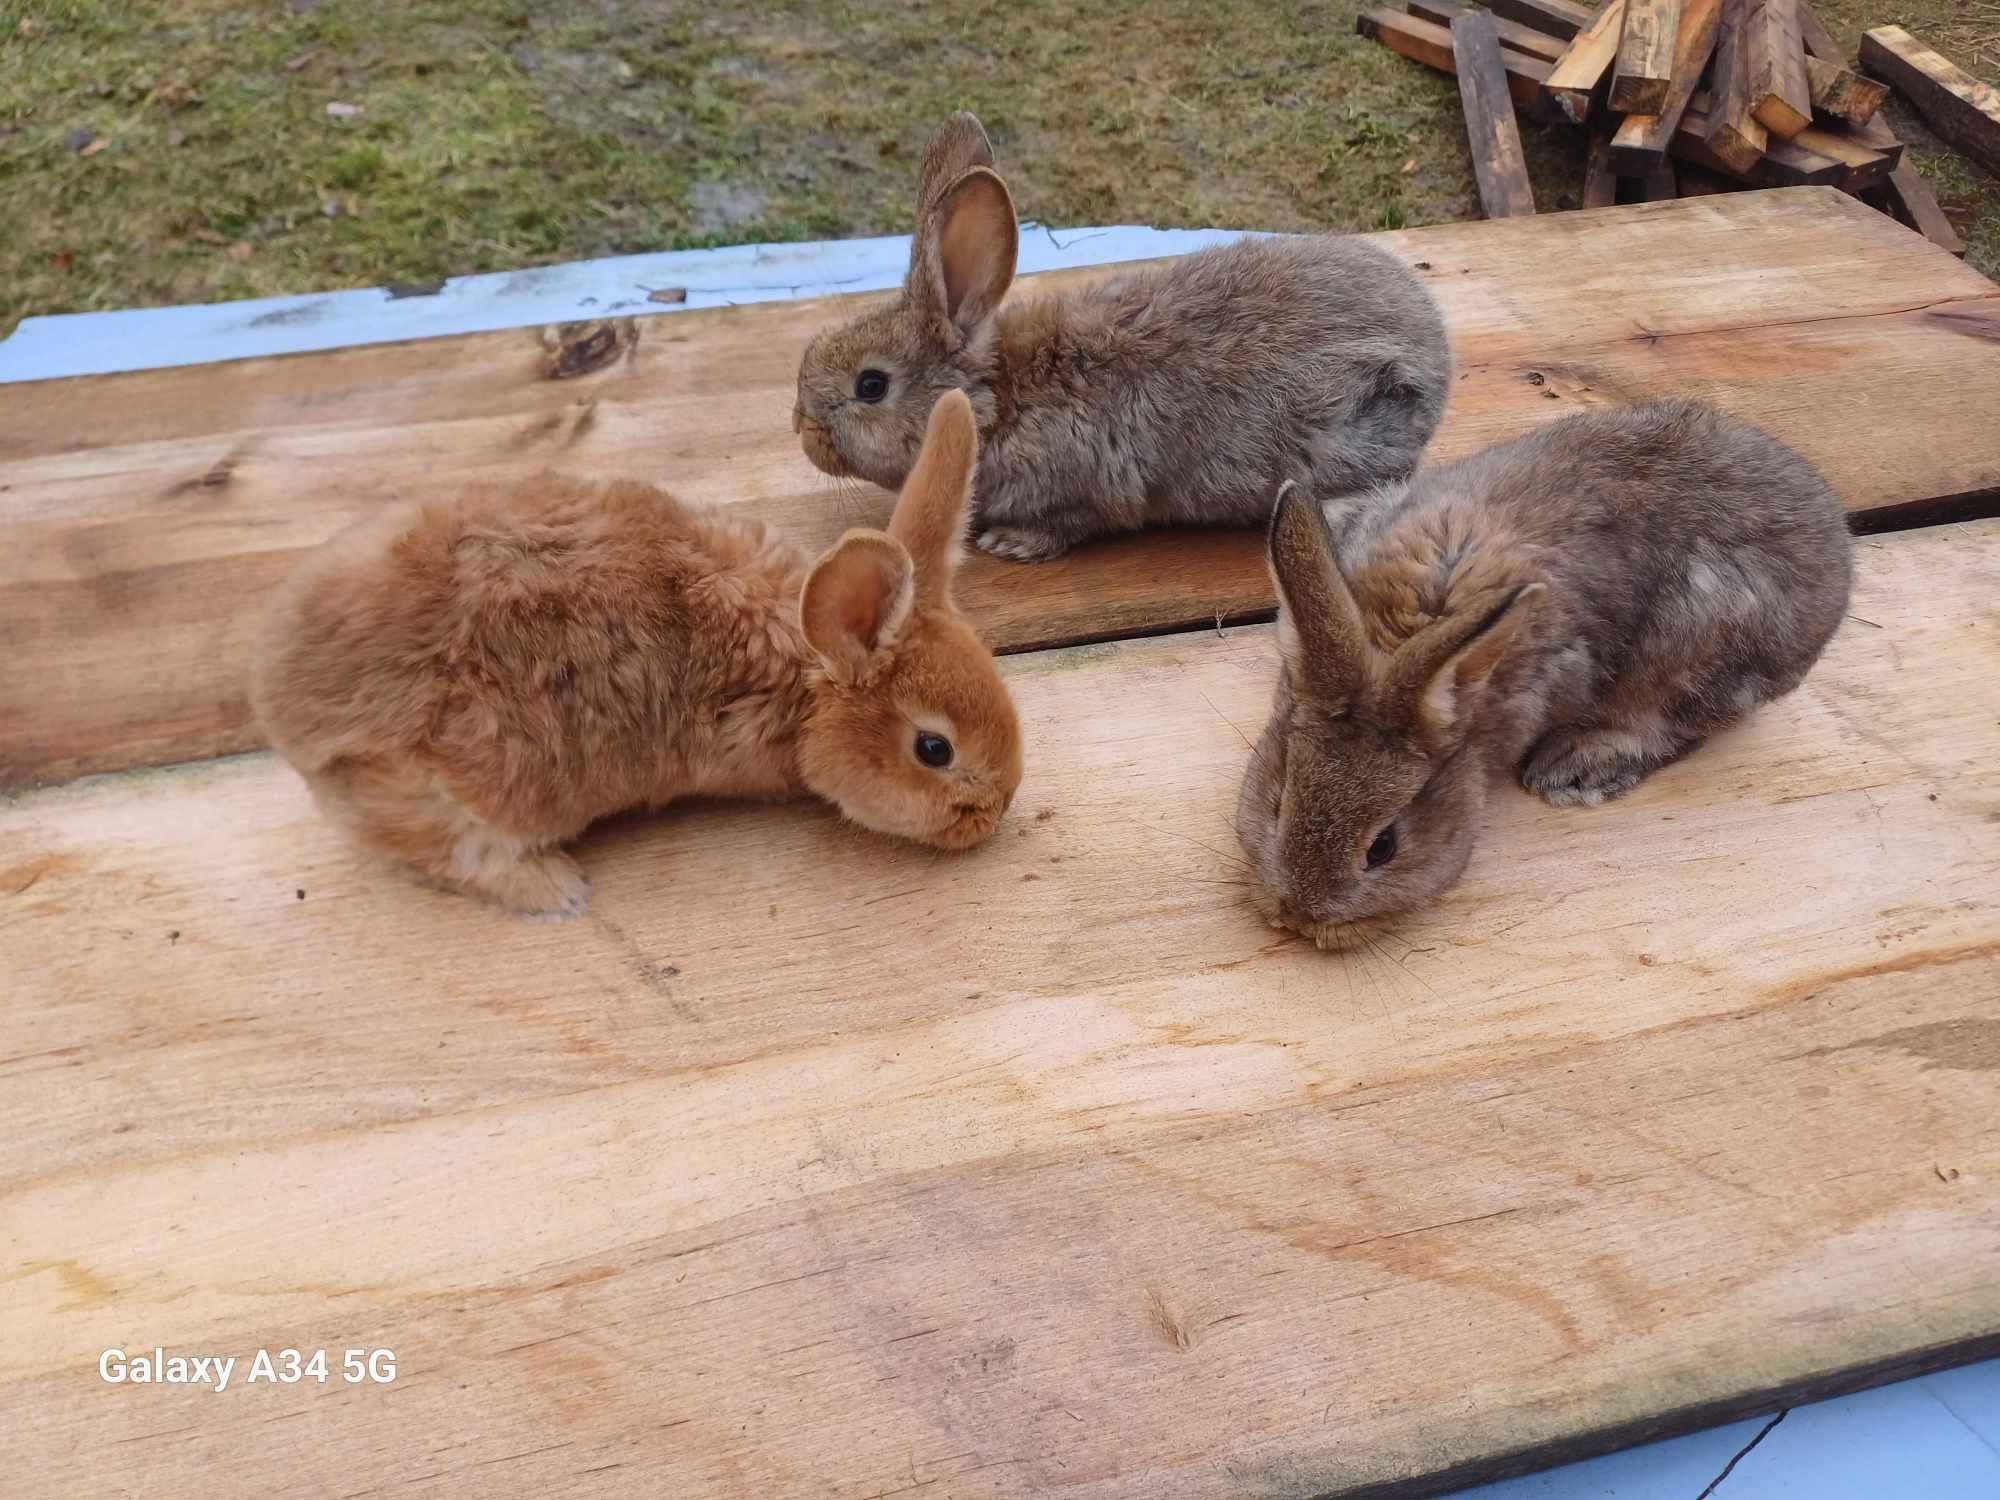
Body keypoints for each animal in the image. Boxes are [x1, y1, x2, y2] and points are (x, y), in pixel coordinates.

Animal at [252, 394, 1024, 924]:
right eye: (933, 749)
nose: (994, 813)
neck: (803, 682)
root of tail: (284, 709)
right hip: (456, 792)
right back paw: (559, 891)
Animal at [792, 113, 1456, 564]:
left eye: (871, 386)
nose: (801, 428)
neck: (996, 401)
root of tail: (1438, 354)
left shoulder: (1080, 488)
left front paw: (1009, 543)